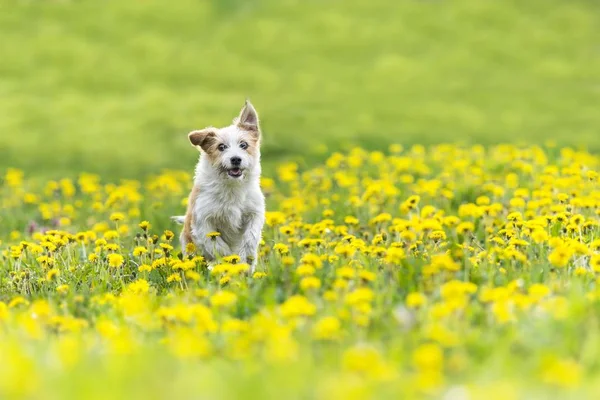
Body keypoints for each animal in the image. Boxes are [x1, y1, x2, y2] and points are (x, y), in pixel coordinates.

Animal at [173, 100, 268, 270]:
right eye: (221, 147)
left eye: (244, 145)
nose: (236, 159)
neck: (232, 186)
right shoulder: (203, 221)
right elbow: (217, 246)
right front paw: (229, 259)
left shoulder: (254, 212)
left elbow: (251, 236)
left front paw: (245, 258)